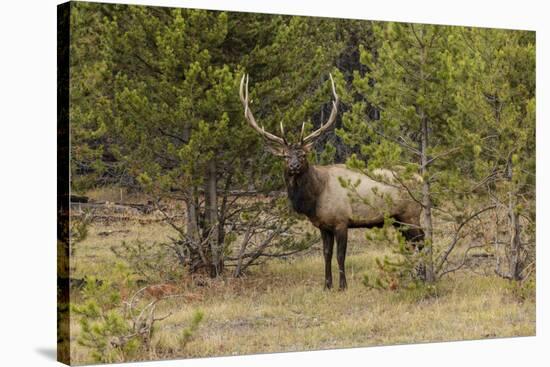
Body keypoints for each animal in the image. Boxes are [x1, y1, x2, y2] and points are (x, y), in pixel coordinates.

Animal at [239, 74, 424, 290]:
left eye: (303, 155)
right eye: (285, 156)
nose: (294, 166)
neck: (315, 199)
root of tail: (422, 177)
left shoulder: (341, 220)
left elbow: (340, 256)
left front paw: (343, 286)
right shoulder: (323, 225)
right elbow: (326, 255)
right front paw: (327, 285)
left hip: (411, 214)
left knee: (422, 241)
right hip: (398, 219)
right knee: (411, 244)